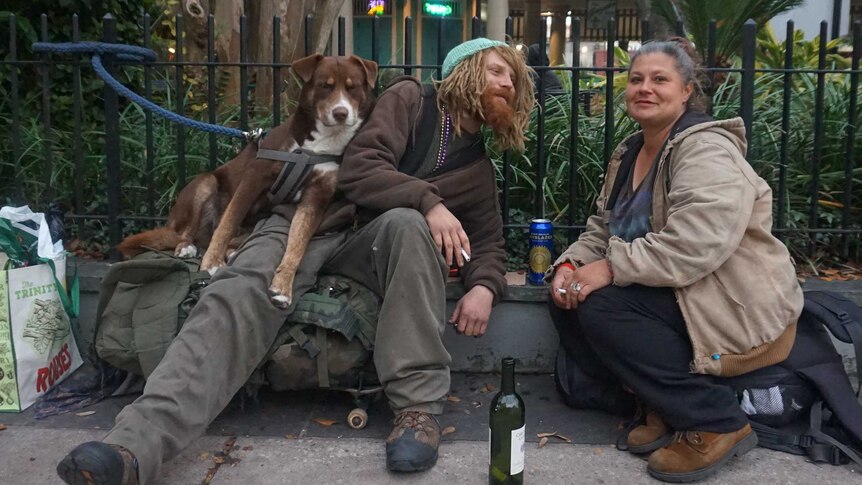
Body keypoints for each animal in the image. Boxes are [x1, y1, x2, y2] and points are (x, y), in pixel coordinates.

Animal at [118, 54, 378, 306]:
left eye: (352, 88)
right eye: (325, 86)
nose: (341, 113)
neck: (316, 147)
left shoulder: (317, 197)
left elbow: (297, 244)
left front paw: (283, 286)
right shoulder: (254, 177)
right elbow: (227, 222)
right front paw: (211, 262)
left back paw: (231, 252)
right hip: (205, 184)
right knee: (185, 232)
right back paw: (187, 247)